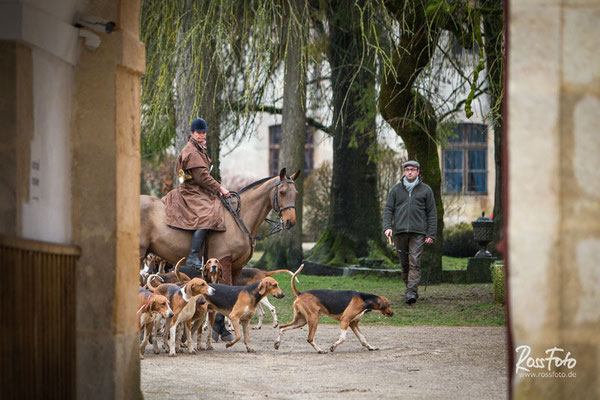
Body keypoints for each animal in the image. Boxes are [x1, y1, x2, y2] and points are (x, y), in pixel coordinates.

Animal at [140, 169, 300, 284]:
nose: (290, 222)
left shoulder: (237, 267)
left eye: (296, 193)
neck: (239, 219)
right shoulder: (224, 262)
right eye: (282, 192)